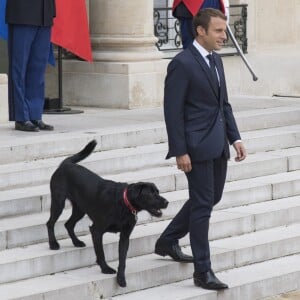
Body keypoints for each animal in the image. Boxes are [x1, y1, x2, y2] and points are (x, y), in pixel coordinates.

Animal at [46, 139, 169, 288]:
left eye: (157, 191)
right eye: (151, 194)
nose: (167, 202)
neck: (124, 203)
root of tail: (66, 164)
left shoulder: (125, 236)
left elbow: (122, 259)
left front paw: (121, 278)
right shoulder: (96, 230)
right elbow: (101, 253)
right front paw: (105, 269)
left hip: (80, 209)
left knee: (68, 224)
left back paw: (76, 242)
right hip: (58, 202)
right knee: (50, 223)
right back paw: (53, 244)